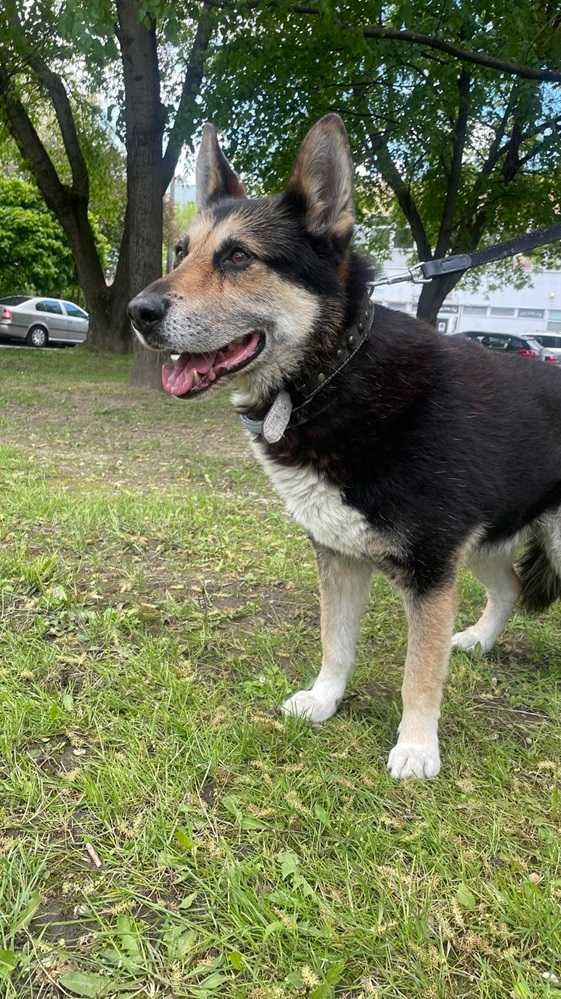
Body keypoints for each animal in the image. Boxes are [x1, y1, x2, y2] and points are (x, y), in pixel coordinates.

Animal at [129, 113, 560, 776]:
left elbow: (419, 672)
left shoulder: (431, 571)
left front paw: (416, 746)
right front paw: (325, 699)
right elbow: (336, 642)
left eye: (238, 256)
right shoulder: (341, 555)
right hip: (487, 538)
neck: (332, 373)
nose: (137, 312)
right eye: (181, 251)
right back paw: (480, 641)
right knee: (509, 586)